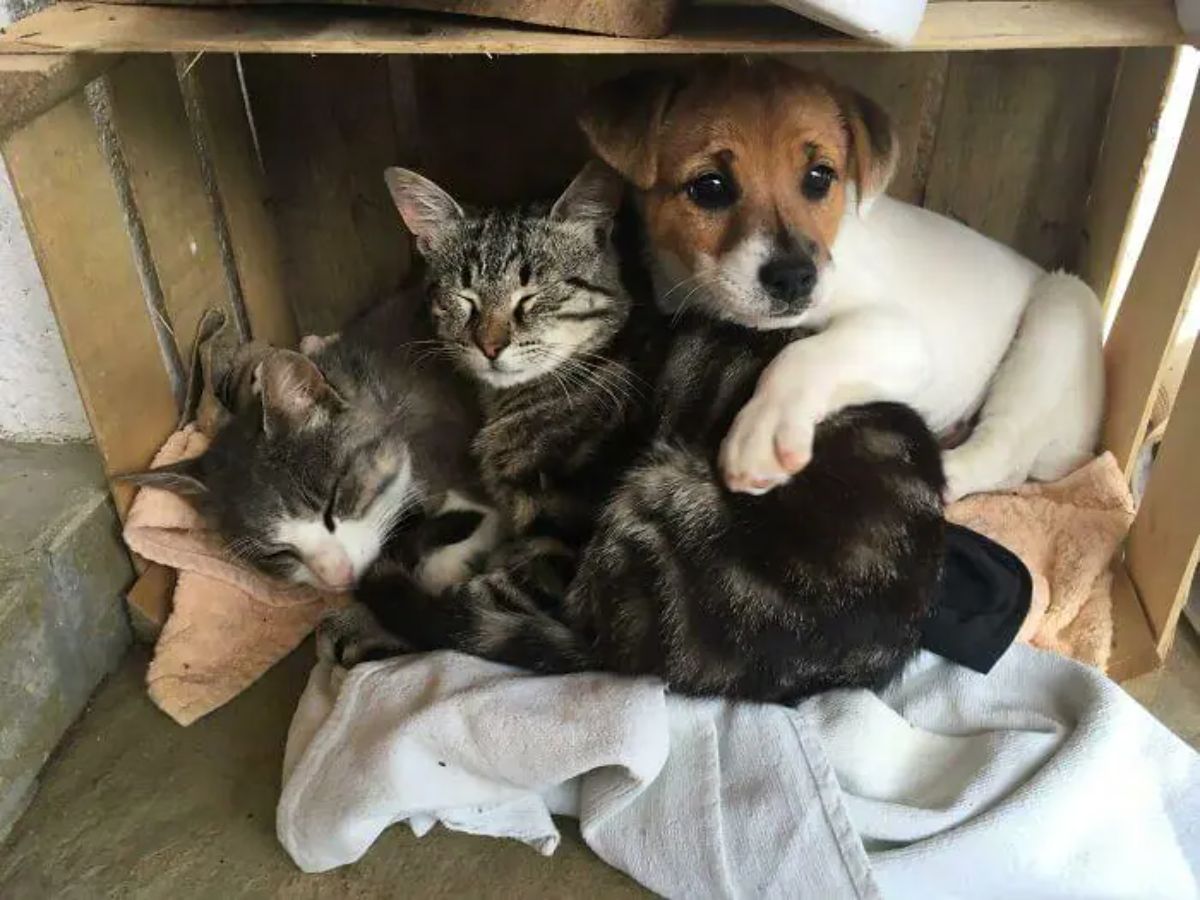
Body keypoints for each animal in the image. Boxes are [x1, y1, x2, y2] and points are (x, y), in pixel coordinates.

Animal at [576, 62, 1099, 501]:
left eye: (819, 177)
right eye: (709, 187)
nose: (794, 279)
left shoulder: (901, 337)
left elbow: (803, 354)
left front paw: (764, 428)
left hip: (1058, 320)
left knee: (1004, 450)